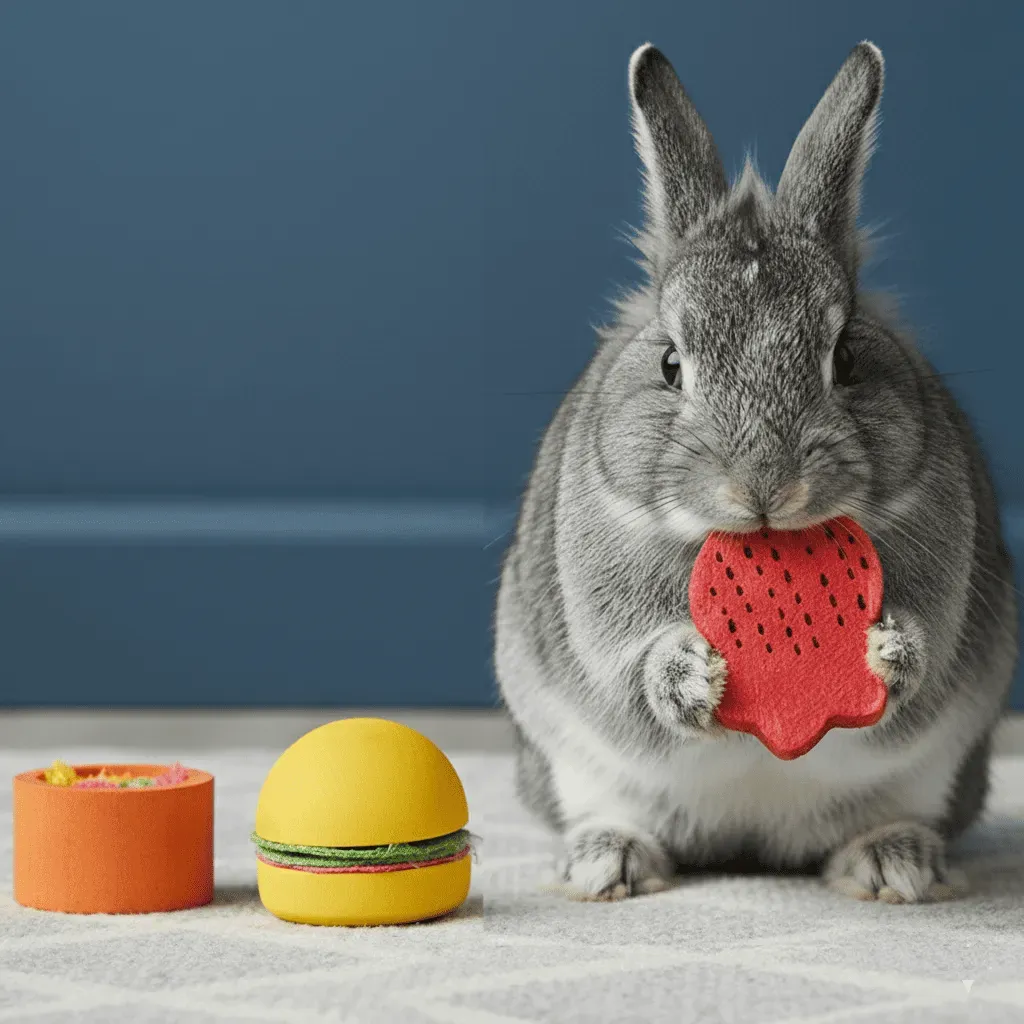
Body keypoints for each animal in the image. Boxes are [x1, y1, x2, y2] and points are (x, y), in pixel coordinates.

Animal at [494, 40, 1018, 904]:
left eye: (847, 357)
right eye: (671, 363)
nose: (765, 485)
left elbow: (923, 649)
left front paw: (887, 653)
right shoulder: (605, 623)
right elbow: (634, 667)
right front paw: (691, 678)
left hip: (936, 775)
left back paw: (892, 866)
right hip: (572, 762)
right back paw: (608, 864)